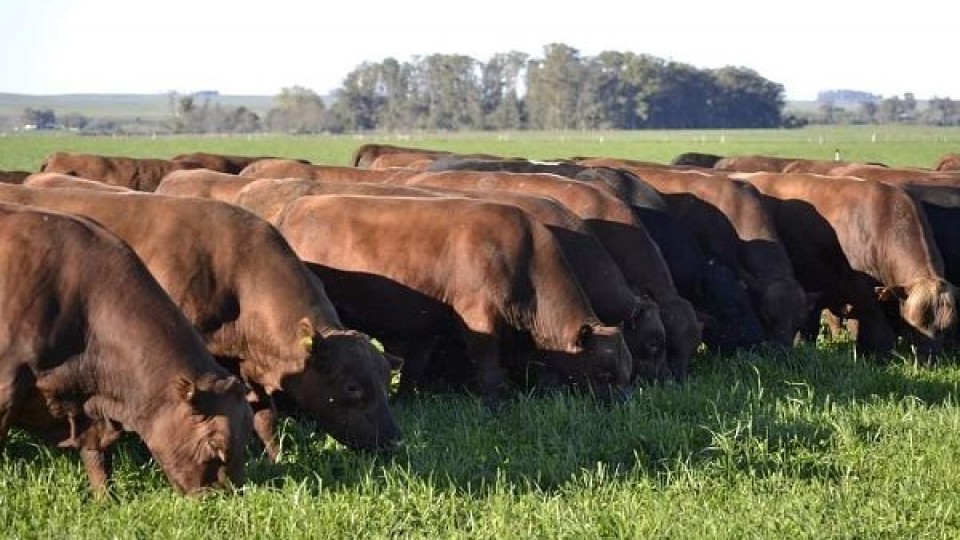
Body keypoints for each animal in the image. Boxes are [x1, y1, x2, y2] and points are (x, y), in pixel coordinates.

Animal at [0, 184, 398, 458]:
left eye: (384, 379)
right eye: (353, 387)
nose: (394, 439)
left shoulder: (242, 364)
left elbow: (264, 417)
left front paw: (275, 456)